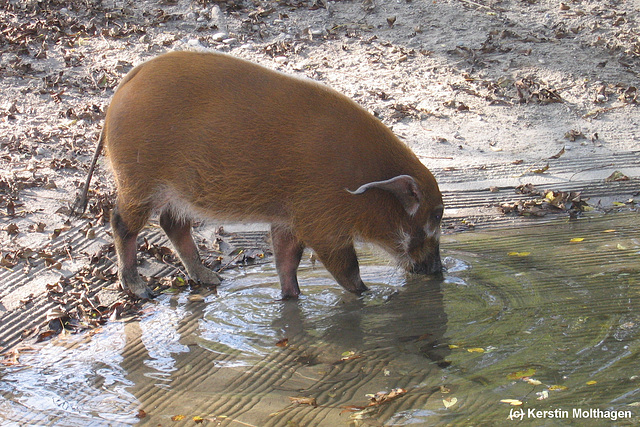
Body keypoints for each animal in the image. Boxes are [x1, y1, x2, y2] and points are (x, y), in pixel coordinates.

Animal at [74, 51, 444, 300]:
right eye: (431, 220)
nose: (440, 272)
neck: (360, 171)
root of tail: (123, 86)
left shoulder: (287, 220)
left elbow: (286, 262)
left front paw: (290, 300)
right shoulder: (321, 223)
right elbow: (347, 270)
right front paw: (367, 295)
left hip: (173, 191)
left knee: (172, 223)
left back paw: (210, 278)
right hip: (139, 180)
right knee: (121, 222)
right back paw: (139, 289)